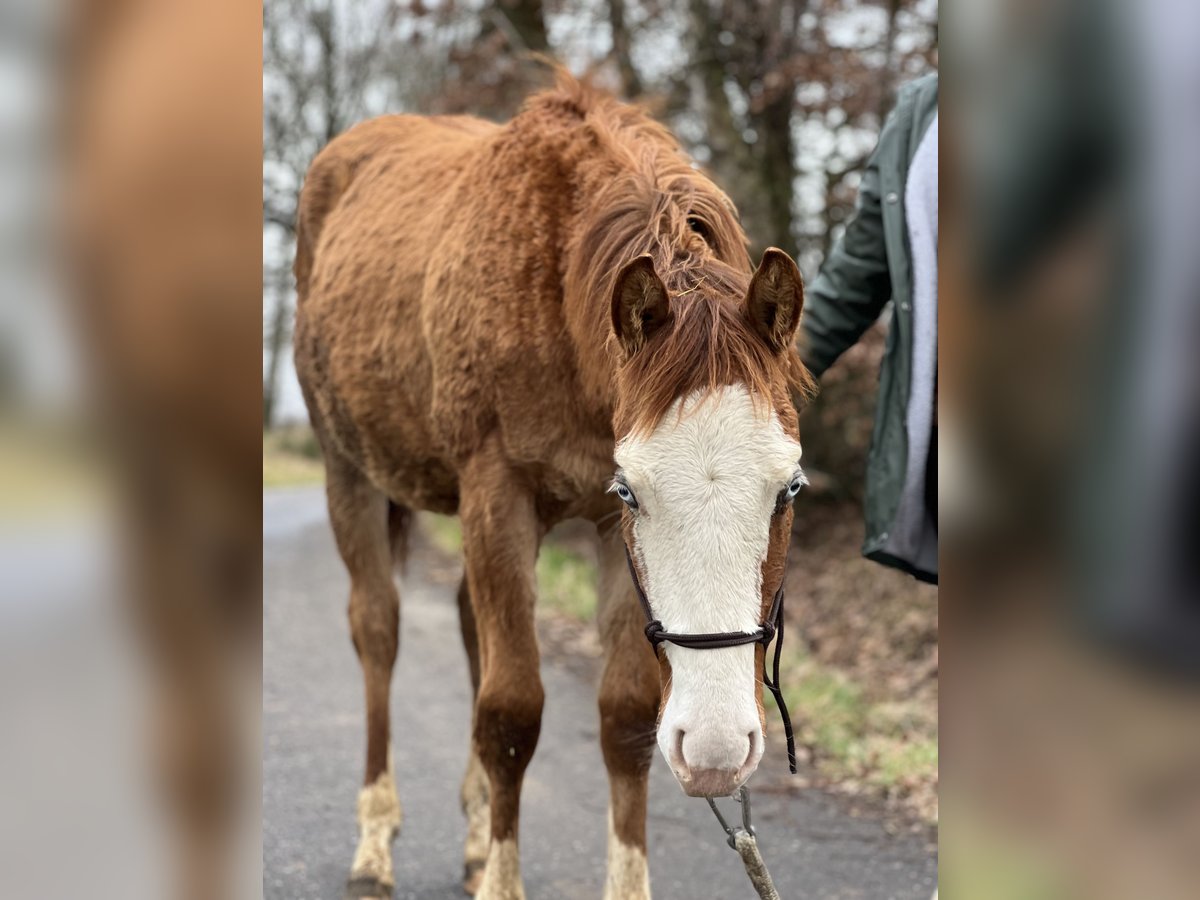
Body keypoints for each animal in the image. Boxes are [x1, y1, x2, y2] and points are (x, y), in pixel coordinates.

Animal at [293, 69, 815, 900]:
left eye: (789, 487)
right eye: (635, 490)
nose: (716, 750)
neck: (559, 290)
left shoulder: (601, 530)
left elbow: (625, 716)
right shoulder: (504, 496)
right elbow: (510, 713)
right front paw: (500, 880)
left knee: (468, 624)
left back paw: (476, 838)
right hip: (351, 474)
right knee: (378, 630)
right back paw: (375, 842)